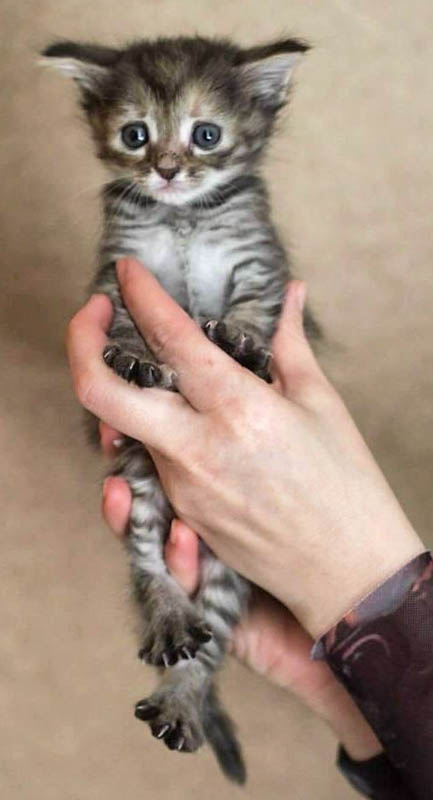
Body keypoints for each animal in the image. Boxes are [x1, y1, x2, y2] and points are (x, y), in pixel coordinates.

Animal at [42, 35, 319, 783]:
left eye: (206, 135)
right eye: (136, 136)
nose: (166, 170)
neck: (183, 216)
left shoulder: (261, 266)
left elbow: (253, 304)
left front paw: (244, 342)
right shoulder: (117, 274)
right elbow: (123, 322)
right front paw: (137, 358)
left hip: (228, 566)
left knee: (212, 637)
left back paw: (183, 701)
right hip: (140, 477)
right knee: (149, 564)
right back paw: (168, 619)